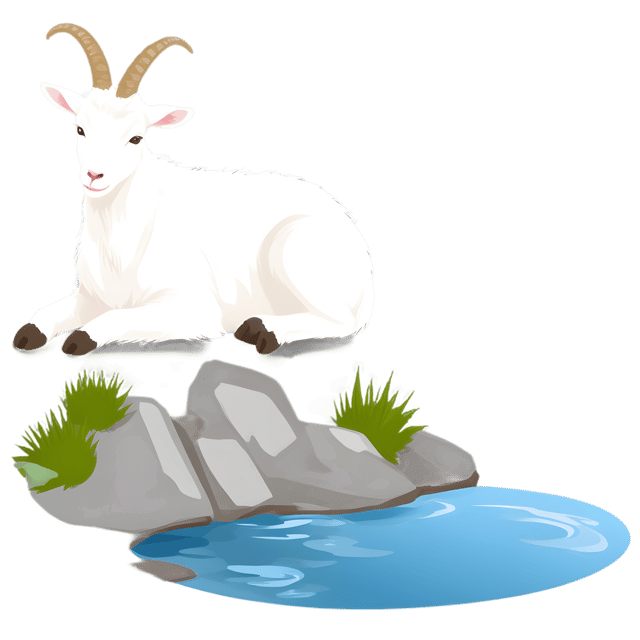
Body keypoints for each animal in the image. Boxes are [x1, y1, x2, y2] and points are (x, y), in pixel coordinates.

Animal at [13, 23, 374, 358]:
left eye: (136, 137)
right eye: (80, 128)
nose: (94, 175)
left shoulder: (191, 309)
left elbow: (112, 320)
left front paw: (78, 340)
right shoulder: (91, 296)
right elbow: (47, 313)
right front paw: (26, 336)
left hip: (292, 254)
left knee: (339, 320)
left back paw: (261, 330)